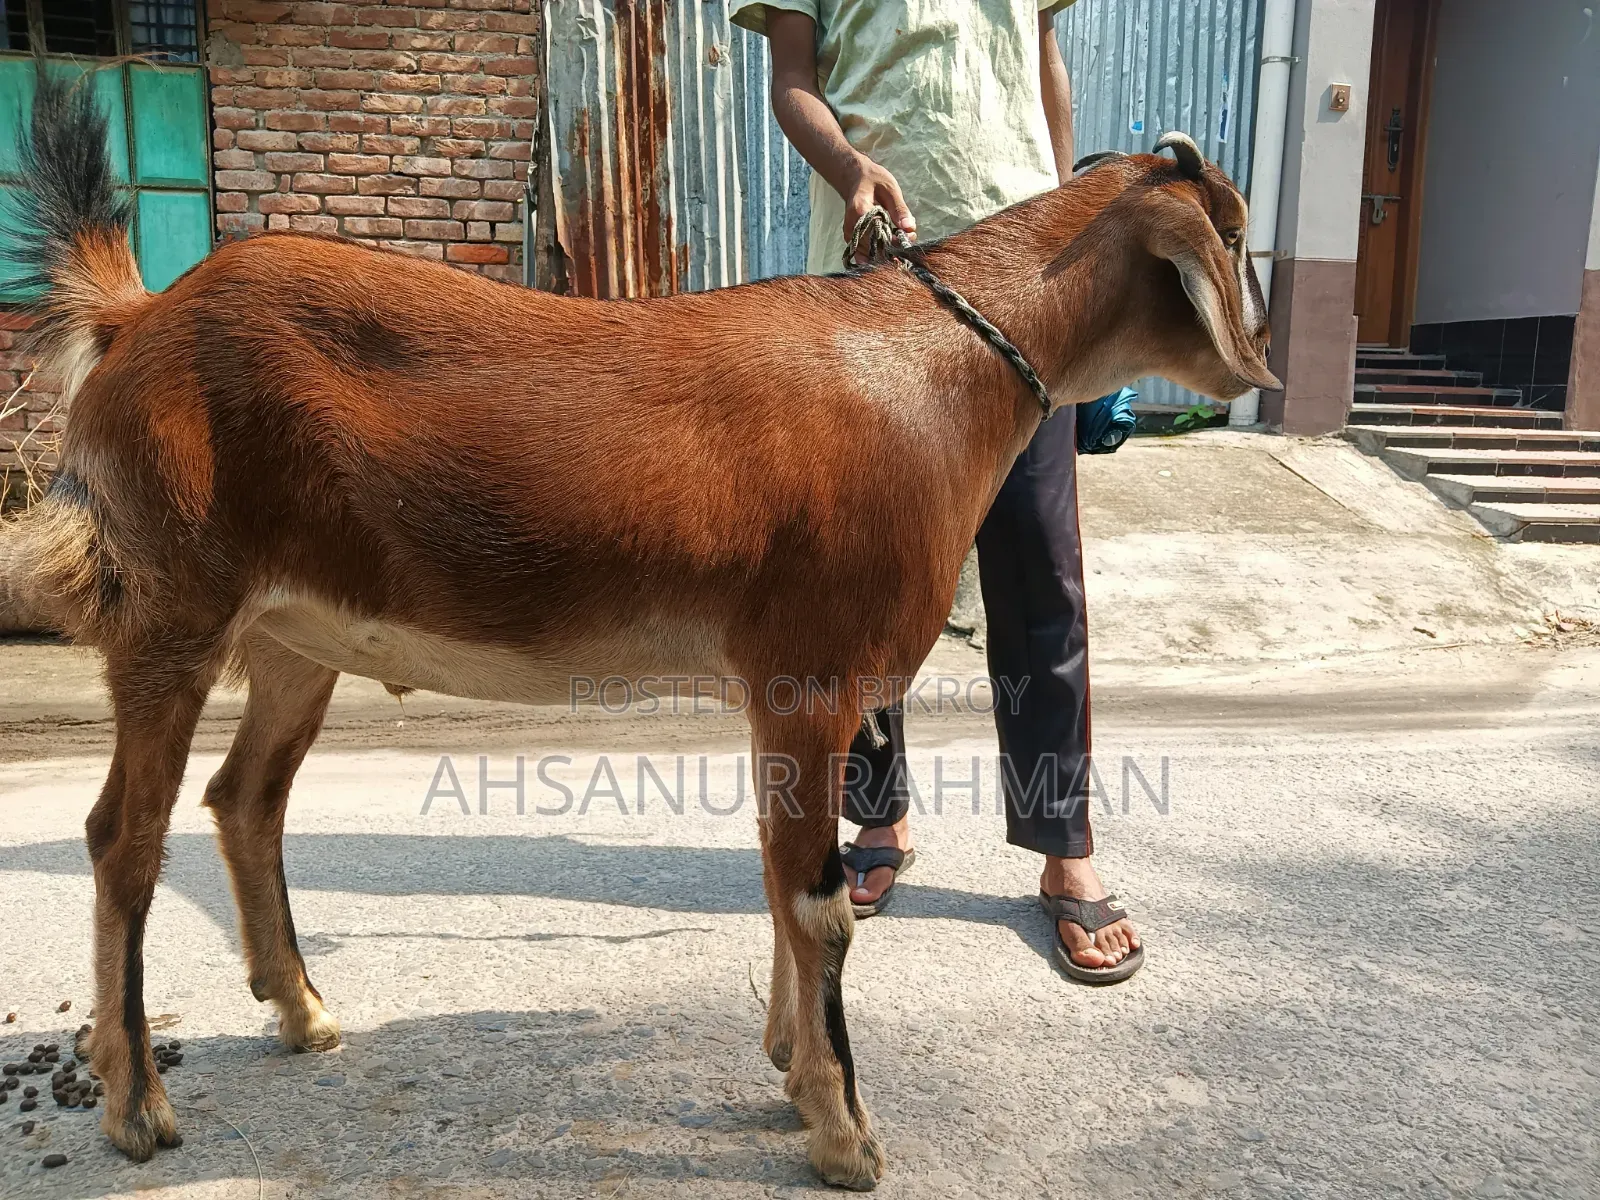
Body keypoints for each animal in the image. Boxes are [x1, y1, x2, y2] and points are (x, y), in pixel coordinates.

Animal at [1, 68, 1276, 1187]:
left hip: (293, 632)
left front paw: (785, 1068)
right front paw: (842, 1132)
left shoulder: (776, 693)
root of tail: (139, 318)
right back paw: (136, 1106)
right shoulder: (811, 677)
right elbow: (818, 907)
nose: (1255, 362)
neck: (936, 369)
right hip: (173, 603)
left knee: (245, 798)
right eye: (1235, 233)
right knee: (123, 836)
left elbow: (778, 875)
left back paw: (304, 1011)